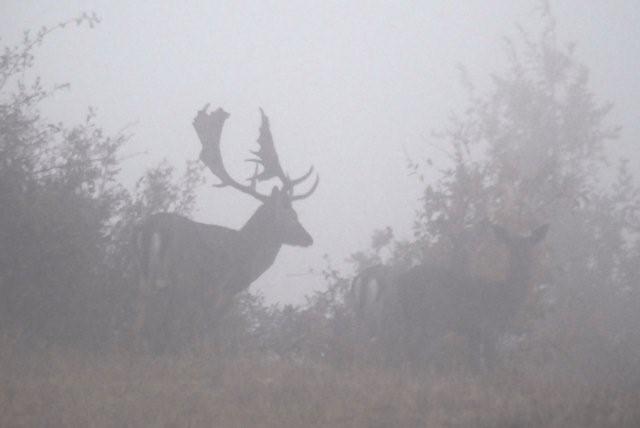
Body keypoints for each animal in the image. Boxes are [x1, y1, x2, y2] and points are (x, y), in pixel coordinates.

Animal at [132, 103, 318, 352]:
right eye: (290, 215)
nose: (308, 238)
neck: (246, 257)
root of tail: (151, 227)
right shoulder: (222, 289)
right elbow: (207, 334)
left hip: (144, 277)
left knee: (139, 318)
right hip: (180, 275)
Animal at [348, 222, 548, 370]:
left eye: (530, 246)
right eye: (510, 246)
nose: (523, 261)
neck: (504, 297)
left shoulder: (472, 332)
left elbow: (474, 365)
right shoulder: (489, 328)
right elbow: (490, 365)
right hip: (428, 319)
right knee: (415, 353)